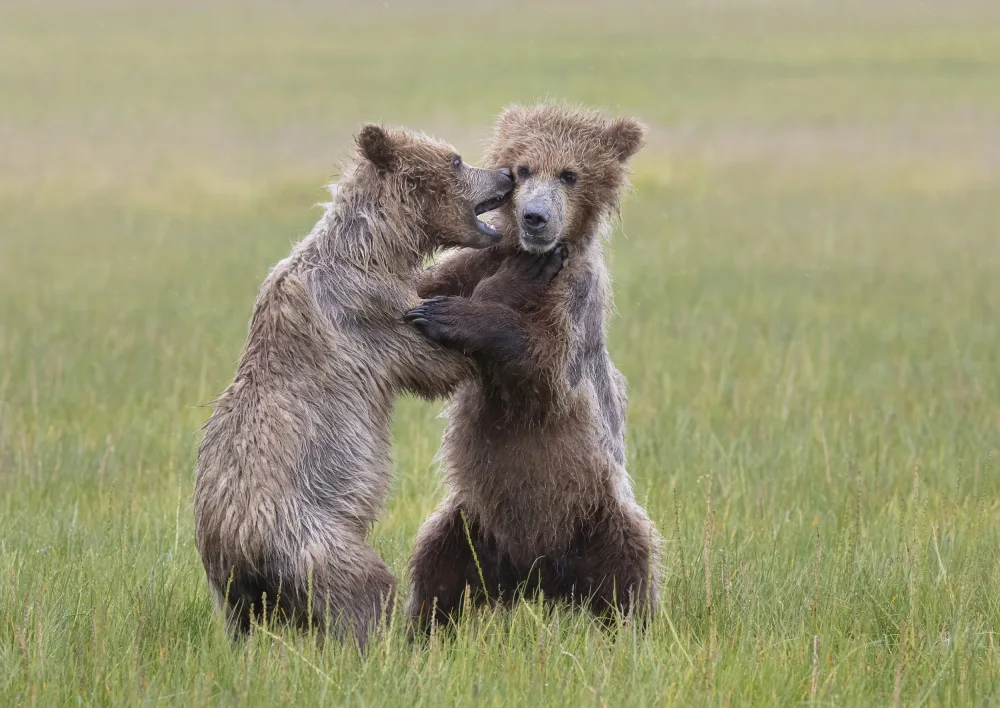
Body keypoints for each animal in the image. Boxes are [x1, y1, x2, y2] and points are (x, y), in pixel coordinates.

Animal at [193, 123, 561, 648]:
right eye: (455, 159)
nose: (507, 174)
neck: (376, 249)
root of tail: (237, 548)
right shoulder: (371, 313)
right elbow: (437, 362)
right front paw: (517, 274)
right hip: (311, 538)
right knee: (365, 588)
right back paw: (393, 639)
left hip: (235, 593)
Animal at [403, 103, 663, 630]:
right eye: (523, 169)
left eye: (569, 173)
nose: (535, 217)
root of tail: (532, 576)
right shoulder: (473, 262)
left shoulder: (574, 299)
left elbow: (545, 371)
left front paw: (454, 315)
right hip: (471, 524)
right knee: (435, 567)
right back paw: (420, 629)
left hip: (597, 511)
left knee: (629, 565)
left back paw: (631, 628)